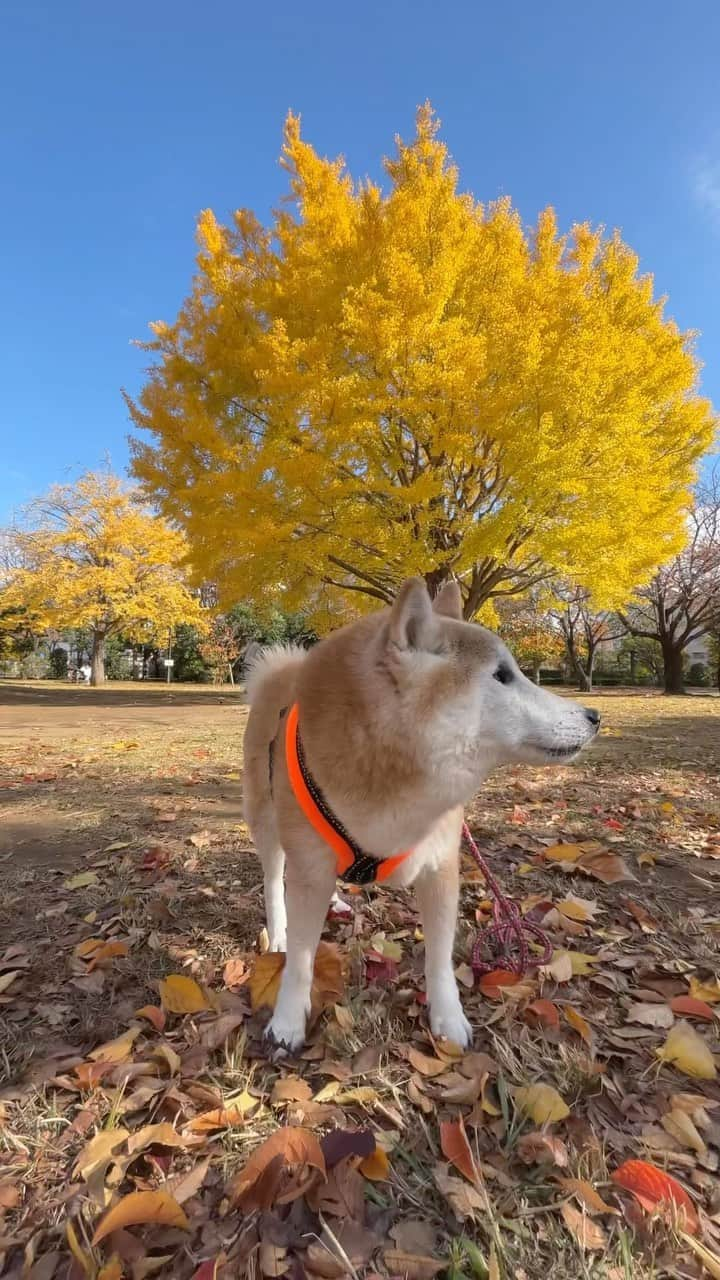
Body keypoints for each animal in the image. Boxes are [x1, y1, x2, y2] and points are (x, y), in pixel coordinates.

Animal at [243, 581, 597, 1049]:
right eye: (502, 675)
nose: (595, 715)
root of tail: (283, 671)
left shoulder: (440, 865)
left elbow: (440, 960)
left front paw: (448, 1017)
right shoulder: (308, 868)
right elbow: (301, 960)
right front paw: (287, 1022)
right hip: (269, 824)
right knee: (273, 880)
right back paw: (279, 931)